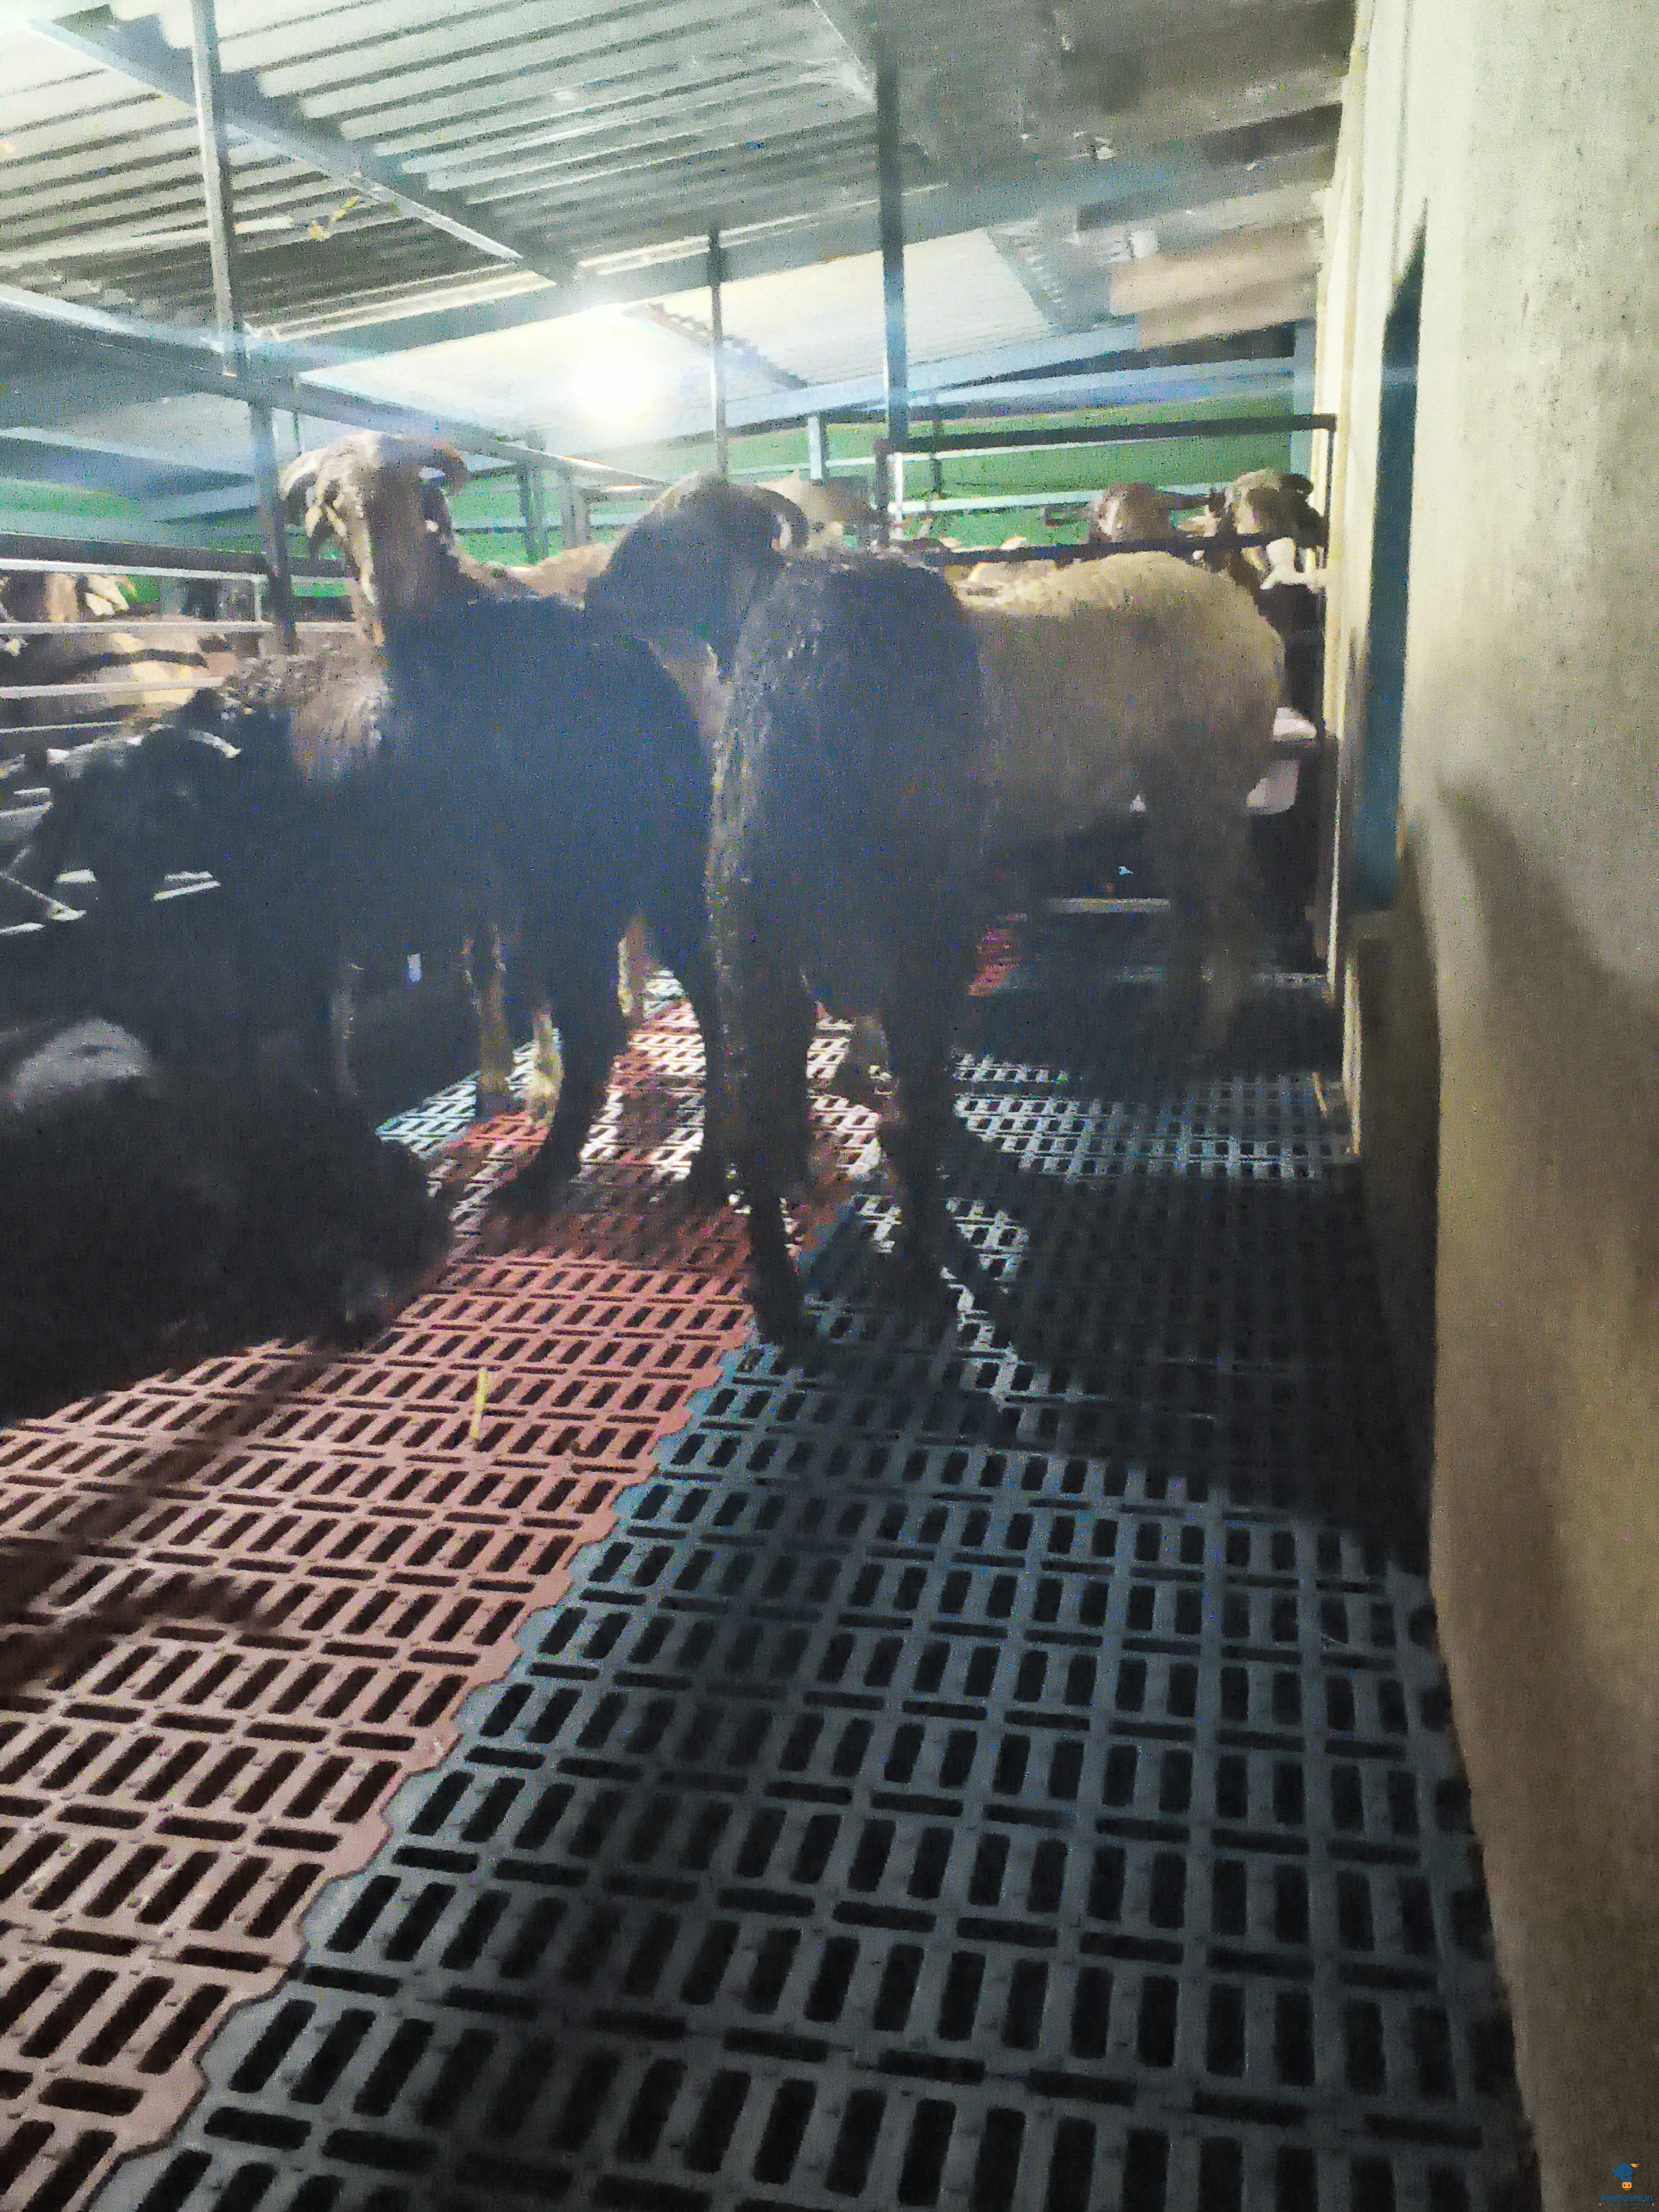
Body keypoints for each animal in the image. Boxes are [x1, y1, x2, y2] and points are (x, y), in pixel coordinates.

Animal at [590, 475, 988, 1341]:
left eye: (673, 538)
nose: (597, 597)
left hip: (747, 933)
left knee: (758, 1115)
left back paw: (773, 1287)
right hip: (925, 936)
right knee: (914, 1115)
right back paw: (916, 1269)